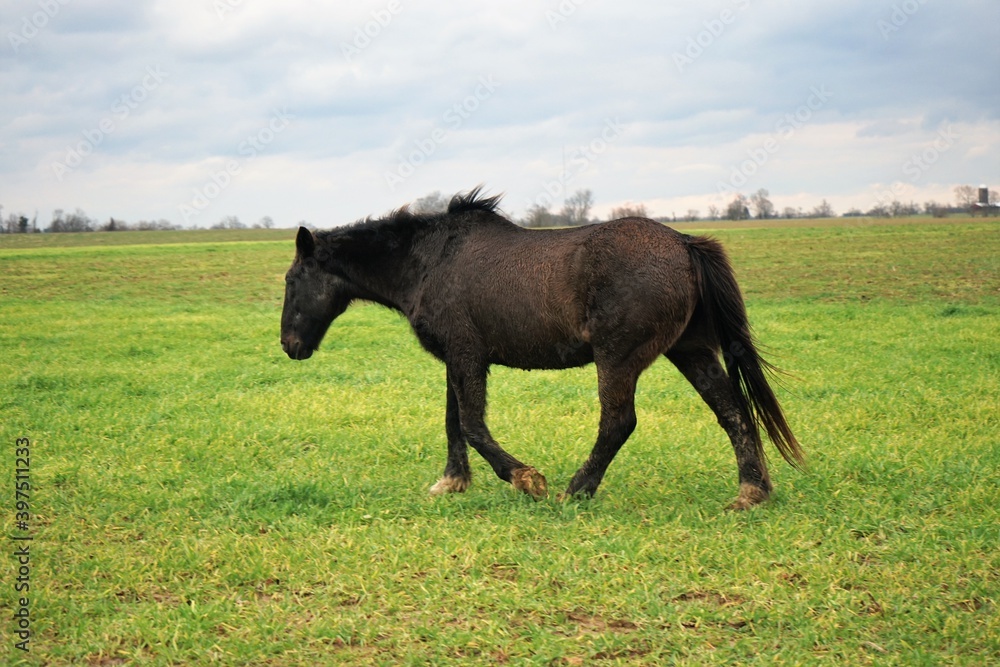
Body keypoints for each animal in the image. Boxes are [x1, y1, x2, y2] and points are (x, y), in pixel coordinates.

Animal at [280, 188, 803, 509]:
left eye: (290, 280)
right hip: (690, 350)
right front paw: (452, 481)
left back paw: (576, 490)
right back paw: (751, 492)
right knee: (732, 412)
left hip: (618, 358)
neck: (429, 262)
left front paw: (526, 478)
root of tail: (683, 243)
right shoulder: (455, 359)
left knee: (619, 422)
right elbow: (453, 422)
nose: (289, 346)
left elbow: (471, 425)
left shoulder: (468, 357)